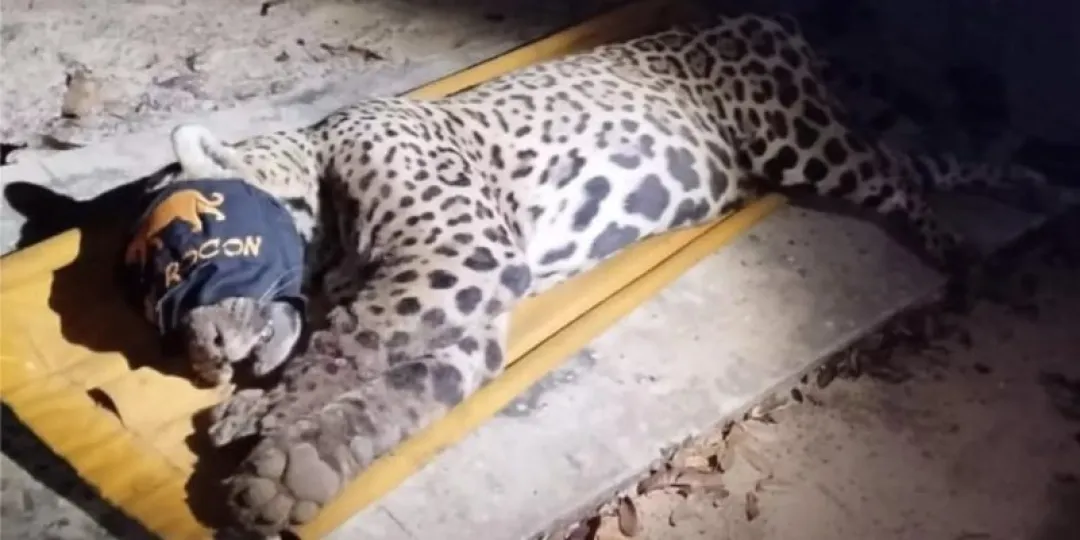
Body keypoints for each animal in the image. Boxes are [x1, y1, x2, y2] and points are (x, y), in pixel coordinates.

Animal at [136, 12, 1066, 535]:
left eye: (187, 259)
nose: (198, 357)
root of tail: (771, 20)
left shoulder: (455, 257)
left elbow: (344, 344)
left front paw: (259, 417)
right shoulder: (464, 313)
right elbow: (387, 396)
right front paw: (294, 476)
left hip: (807, 144)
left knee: (904, 176)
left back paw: (968, 255)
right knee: (923, 162)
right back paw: (1040, 189)